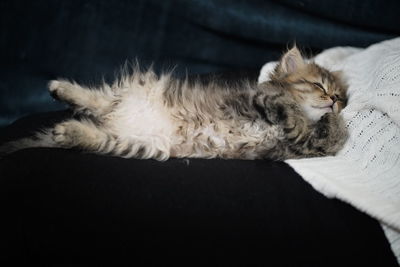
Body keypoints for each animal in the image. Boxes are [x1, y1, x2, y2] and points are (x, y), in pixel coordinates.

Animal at [0, 46, 346, 160]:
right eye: (318, 85)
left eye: (340, 97)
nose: (332, 100)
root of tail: (120, 119)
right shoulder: (262, 100)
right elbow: (284, 106)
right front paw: (292, 110)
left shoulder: (308, 147)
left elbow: (323, 131)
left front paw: (331, 121)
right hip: (138, 92)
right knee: (97, 100)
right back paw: (60, 89)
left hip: (135, 143)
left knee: (94, 130)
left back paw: (69, 131)